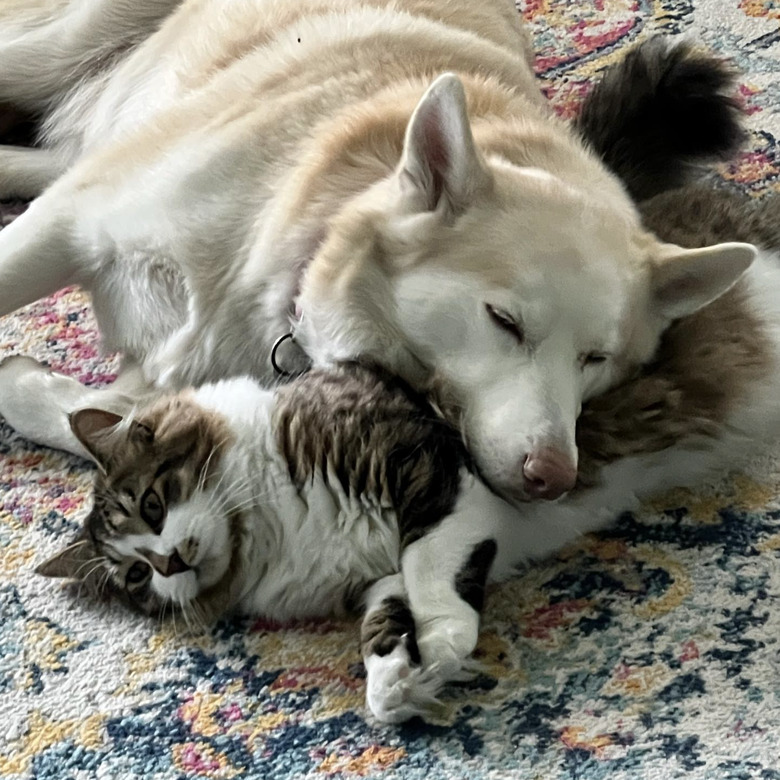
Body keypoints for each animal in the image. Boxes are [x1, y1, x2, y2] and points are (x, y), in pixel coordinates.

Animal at [0, 0, 756, 502]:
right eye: (504, 322)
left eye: (597, 360)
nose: (553, 478)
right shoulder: (69, 223)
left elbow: (104, 421)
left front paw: (28, 385)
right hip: (55, 48)